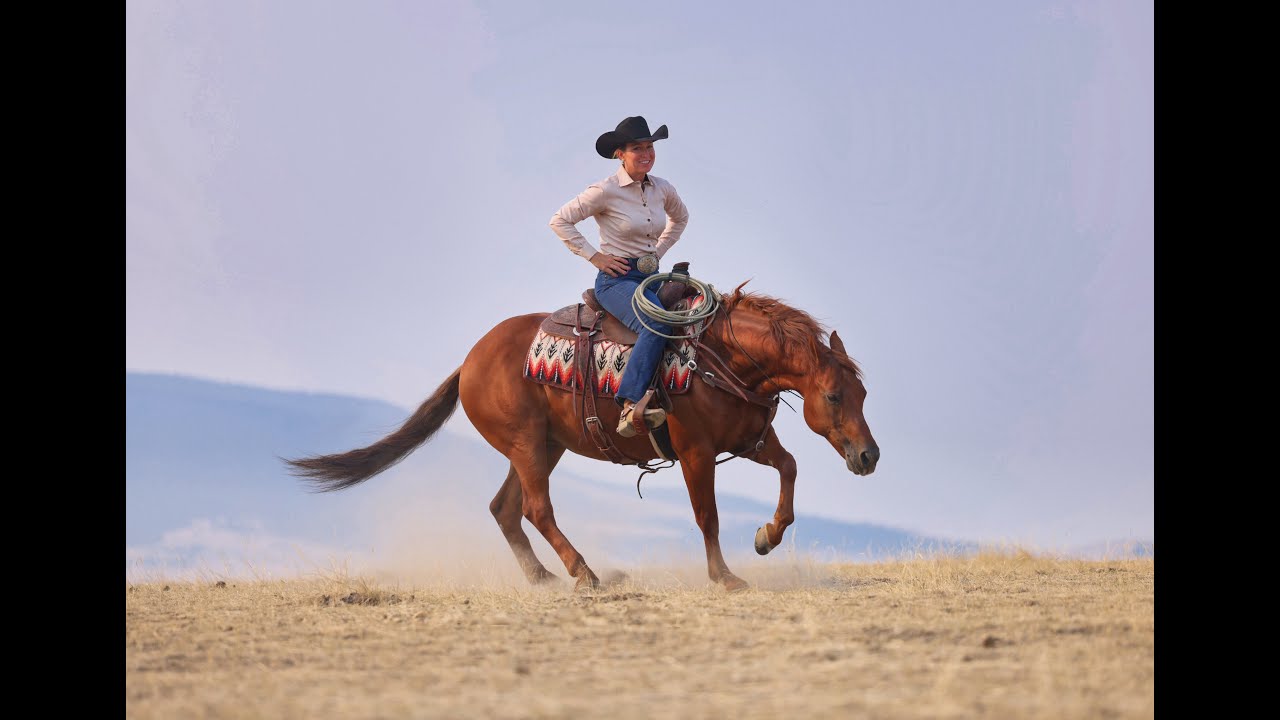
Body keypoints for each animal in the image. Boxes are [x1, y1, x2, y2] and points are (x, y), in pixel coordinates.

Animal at [285, 281, 879, 592]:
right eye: (833, 396)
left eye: (863, 394)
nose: (868, 455)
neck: (719, 359)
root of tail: (469, 361)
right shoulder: (696, 453)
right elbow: (707, 515)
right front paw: (725, 576)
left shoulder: (750, 442)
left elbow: (789, 470)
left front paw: (766, 537)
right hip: (527, 445)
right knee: (535, 509)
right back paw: (583, 573)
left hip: (542, 447)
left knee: (505, 509)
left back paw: (543, 577)